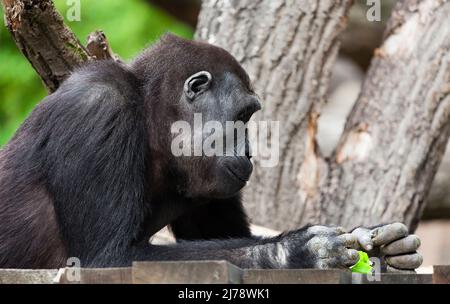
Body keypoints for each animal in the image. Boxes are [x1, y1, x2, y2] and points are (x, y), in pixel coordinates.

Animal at [0, 33, 422, 270]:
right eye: (243, 115)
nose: (250, 151)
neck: (150, 115)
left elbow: (225, 233)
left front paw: (378, 245)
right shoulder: (97, 107)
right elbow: (105, 260)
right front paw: (290, 253)